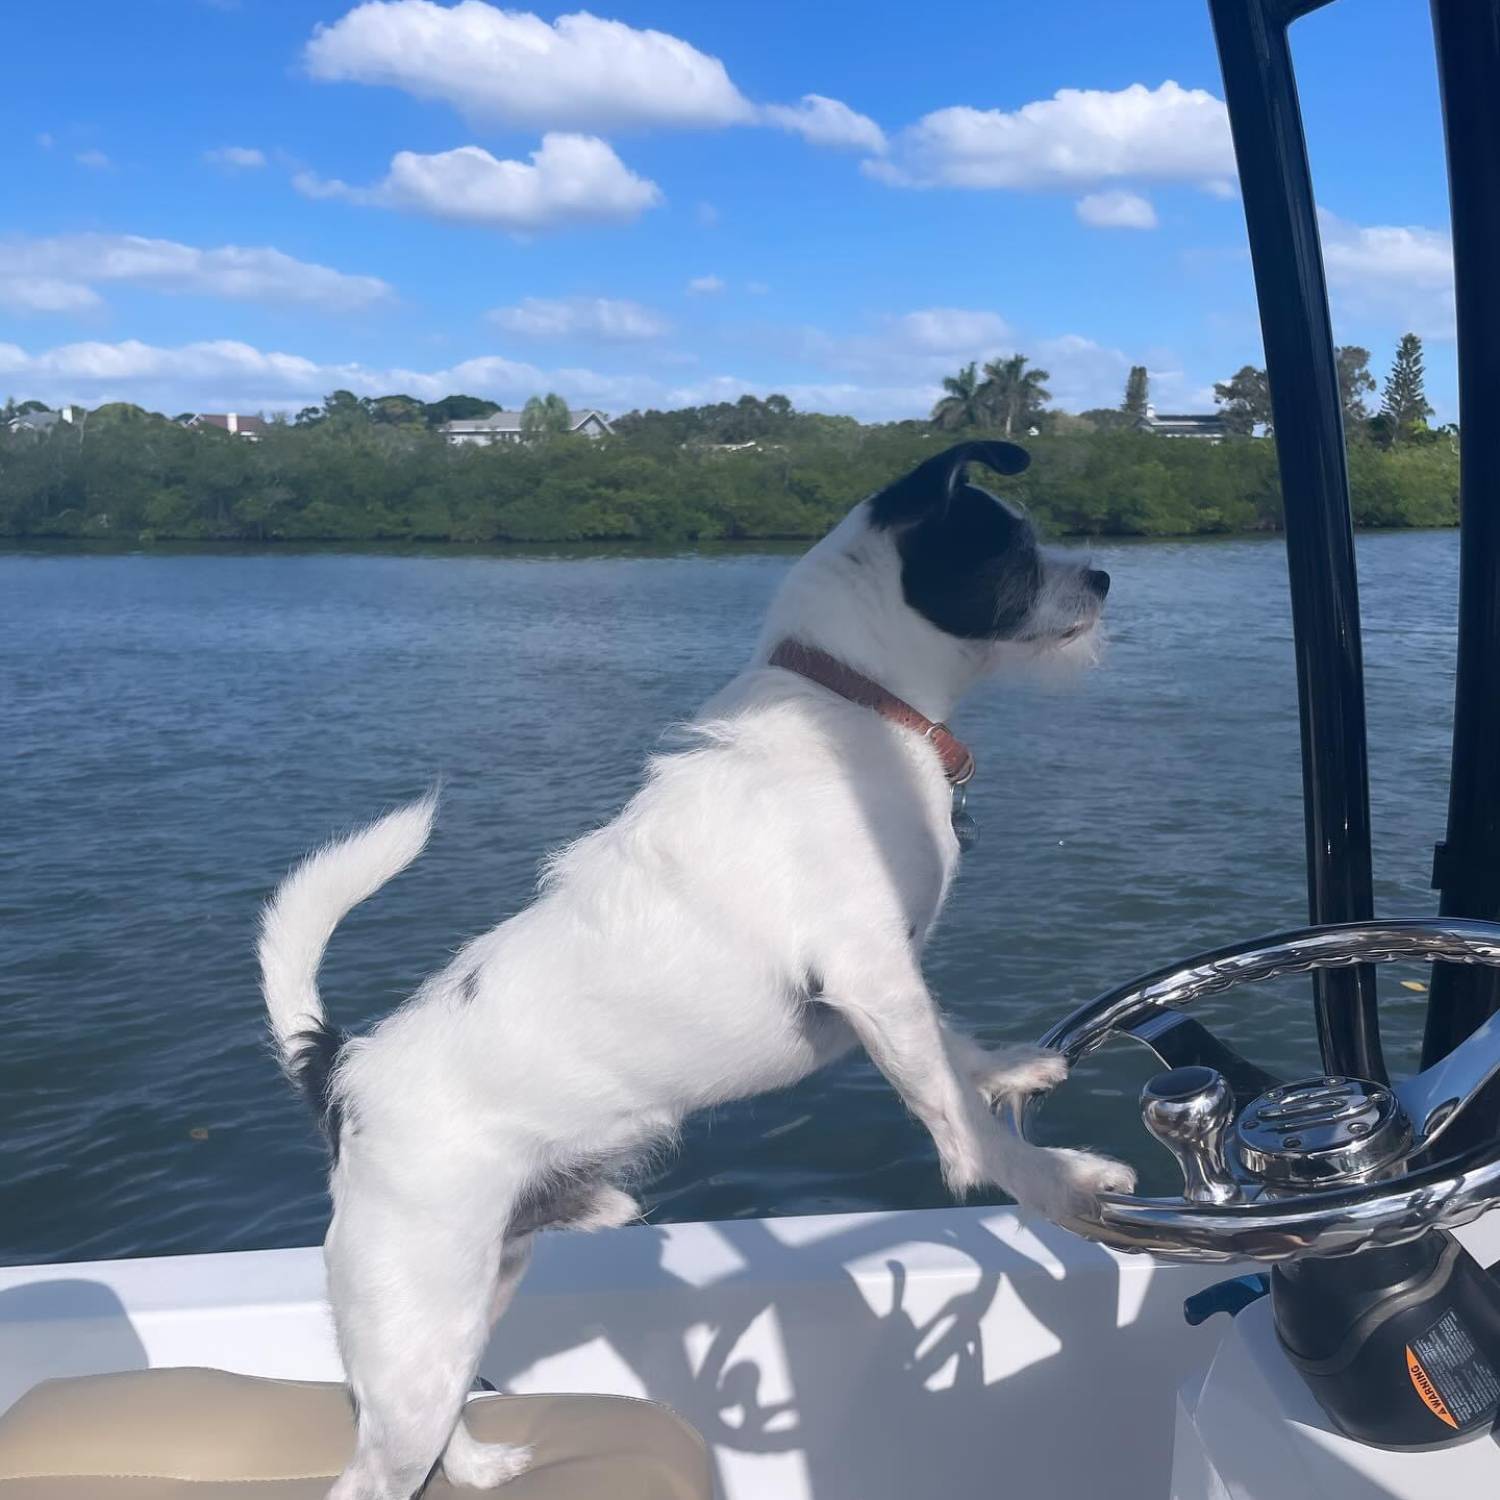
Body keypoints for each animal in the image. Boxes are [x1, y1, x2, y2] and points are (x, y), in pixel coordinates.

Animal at [258, 438, 1128, 1500]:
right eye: (1013, 546)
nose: (1102, 576)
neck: (854, 704)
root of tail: (344, 1074)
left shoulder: (896, 984)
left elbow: (954, 1045)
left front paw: (1012, 1069)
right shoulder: (868, 973)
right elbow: (957, 1118)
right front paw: (1056, 1181)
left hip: (472, 1297)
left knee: (432, 1422)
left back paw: (482, 1463)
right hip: (413, 1320)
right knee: (370, 1468)